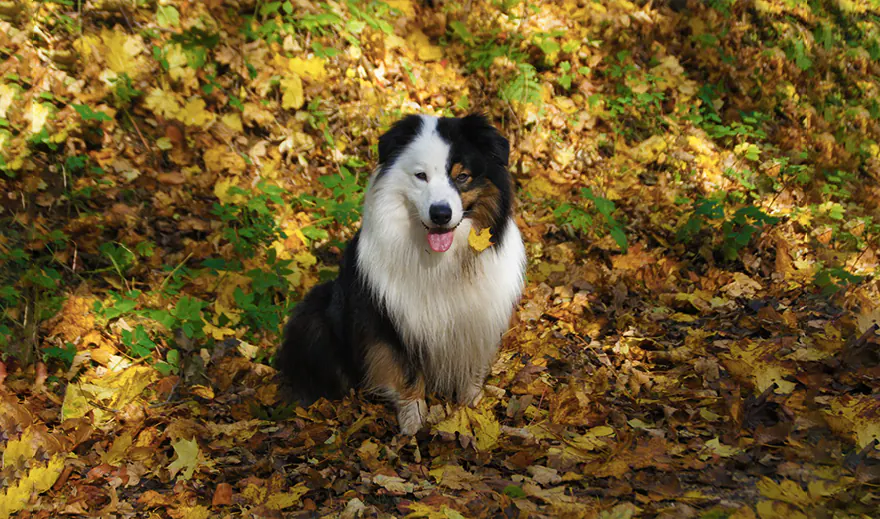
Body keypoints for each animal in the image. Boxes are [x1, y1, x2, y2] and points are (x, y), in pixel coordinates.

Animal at [276, 114, 524, 434]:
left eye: (462, 176)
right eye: (421, 176)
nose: (441, 214)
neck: (441, 260)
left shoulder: (477, 320)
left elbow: (472, 365)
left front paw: (472, 406)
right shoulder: (390, 319)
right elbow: (405, 371)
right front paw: (413, 420)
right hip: (314, 315)